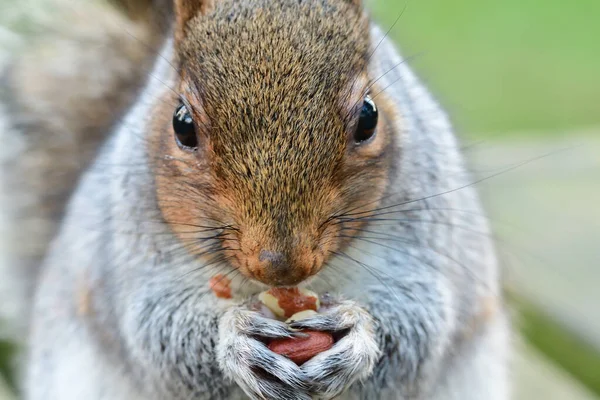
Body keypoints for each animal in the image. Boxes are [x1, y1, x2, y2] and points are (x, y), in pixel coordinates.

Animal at [1, 0, 510, 396]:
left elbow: (420, 324)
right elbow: (159, 334)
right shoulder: (131, 251)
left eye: (369, 117)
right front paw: (236, 337)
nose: (281, 265)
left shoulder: (423, 232)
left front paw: (355, 331)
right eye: (182, 124)